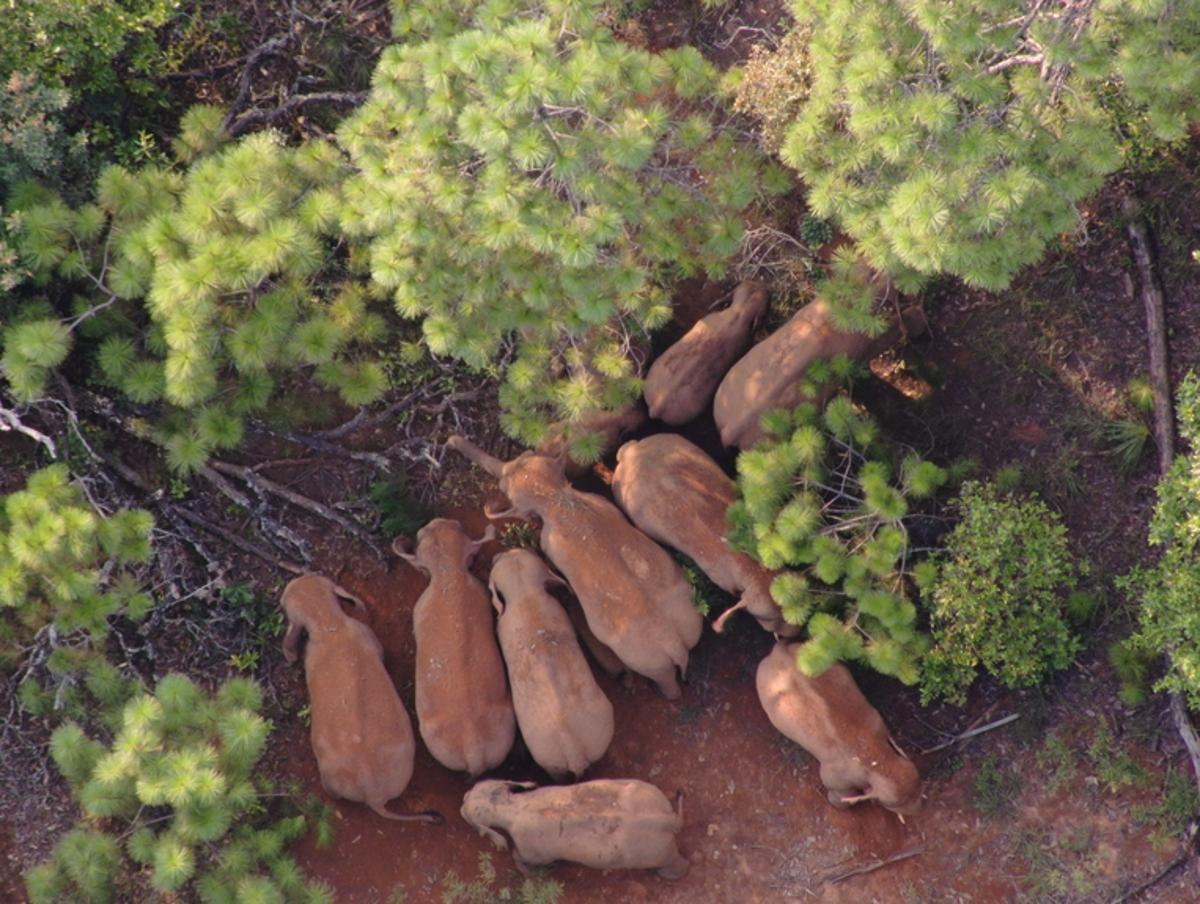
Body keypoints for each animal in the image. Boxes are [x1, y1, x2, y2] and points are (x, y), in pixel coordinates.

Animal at [458, 777, 691, 873]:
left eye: (467, 807)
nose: (462, 799)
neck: (512, 808)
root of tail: (667, 820)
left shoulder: (533, 852)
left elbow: (518, 856)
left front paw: (526, 873)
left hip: (655, 853)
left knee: (673, 861)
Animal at [758, 643, 916, 816]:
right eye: (892, 805)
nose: (918, 808)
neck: (874, 757)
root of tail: (780, 650)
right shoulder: (835, 777)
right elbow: (840, 797)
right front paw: (836, 801)